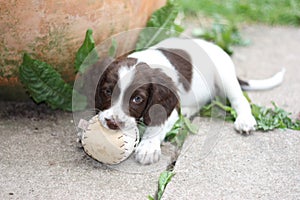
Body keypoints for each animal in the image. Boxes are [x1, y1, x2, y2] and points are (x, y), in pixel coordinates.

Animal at [95, 38, 284, 165]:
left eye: (137, 99)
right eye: (107, 91)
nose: (112, 123)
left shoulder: (166, 107)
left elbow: (157, 124)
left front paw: (148, 147)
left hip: (225, 75)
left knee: (240, 100)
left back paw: (245, 120)